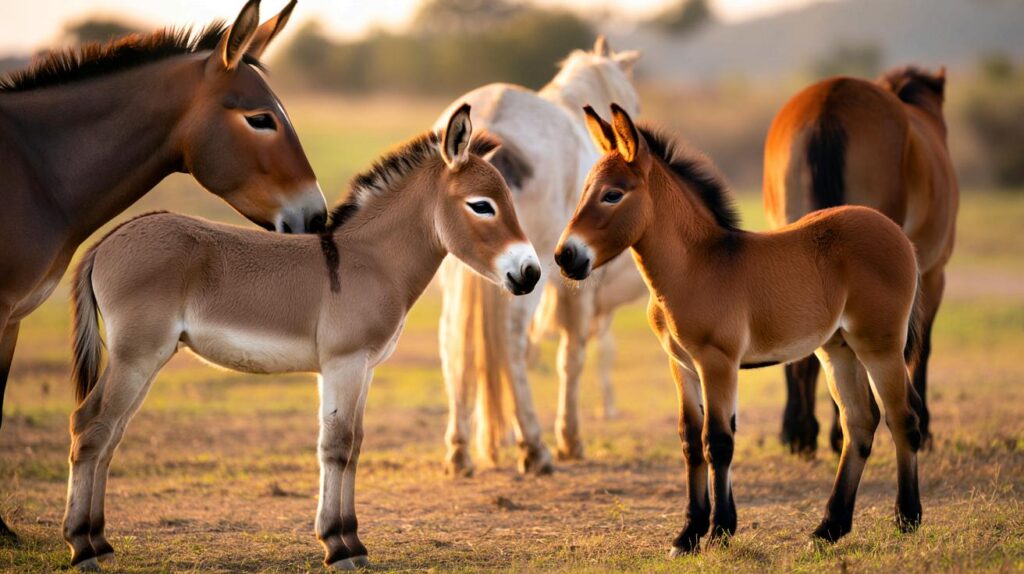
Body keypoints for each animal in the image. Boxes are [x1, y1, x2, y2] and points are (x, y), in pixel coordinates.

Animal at [62, 104, 541, 570]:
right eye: (482, 206)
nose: (532, 273)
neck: (370, 261)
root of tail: (106, 241)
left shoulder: (364, 368)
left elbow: (355, 445)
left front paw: (353, 542)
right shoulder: (343, 363)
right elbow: (336, 445)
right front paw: (338, 546)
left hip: (146, 358)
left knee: (110, 432)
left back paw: (99, 541)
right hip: (136, 355)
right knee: (92, 425)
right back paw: (82, 547)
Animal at [434, 36, 646, 476]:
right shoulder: (578, 282)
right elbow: (572, 354)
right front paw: (569, 439)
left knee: (453, 343)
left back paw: (460, 450)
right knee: (514, 342)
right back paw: (534, 447)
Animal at [555, 104, 924, 553]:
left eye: (613, 194)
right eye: (585, 189)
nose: (565, 256)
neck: (695, 266)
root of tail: (898, 235)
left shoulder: (718, 363)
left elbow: (718, 441)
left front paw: (718, 531)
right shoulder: (682, 365)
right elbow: (690, 441)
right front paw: (688, 534)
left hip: (879, 346)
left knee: (902, 418)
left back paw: (907, 518)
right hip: (838, 349)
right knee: (859, 424)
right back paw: (828, 529)